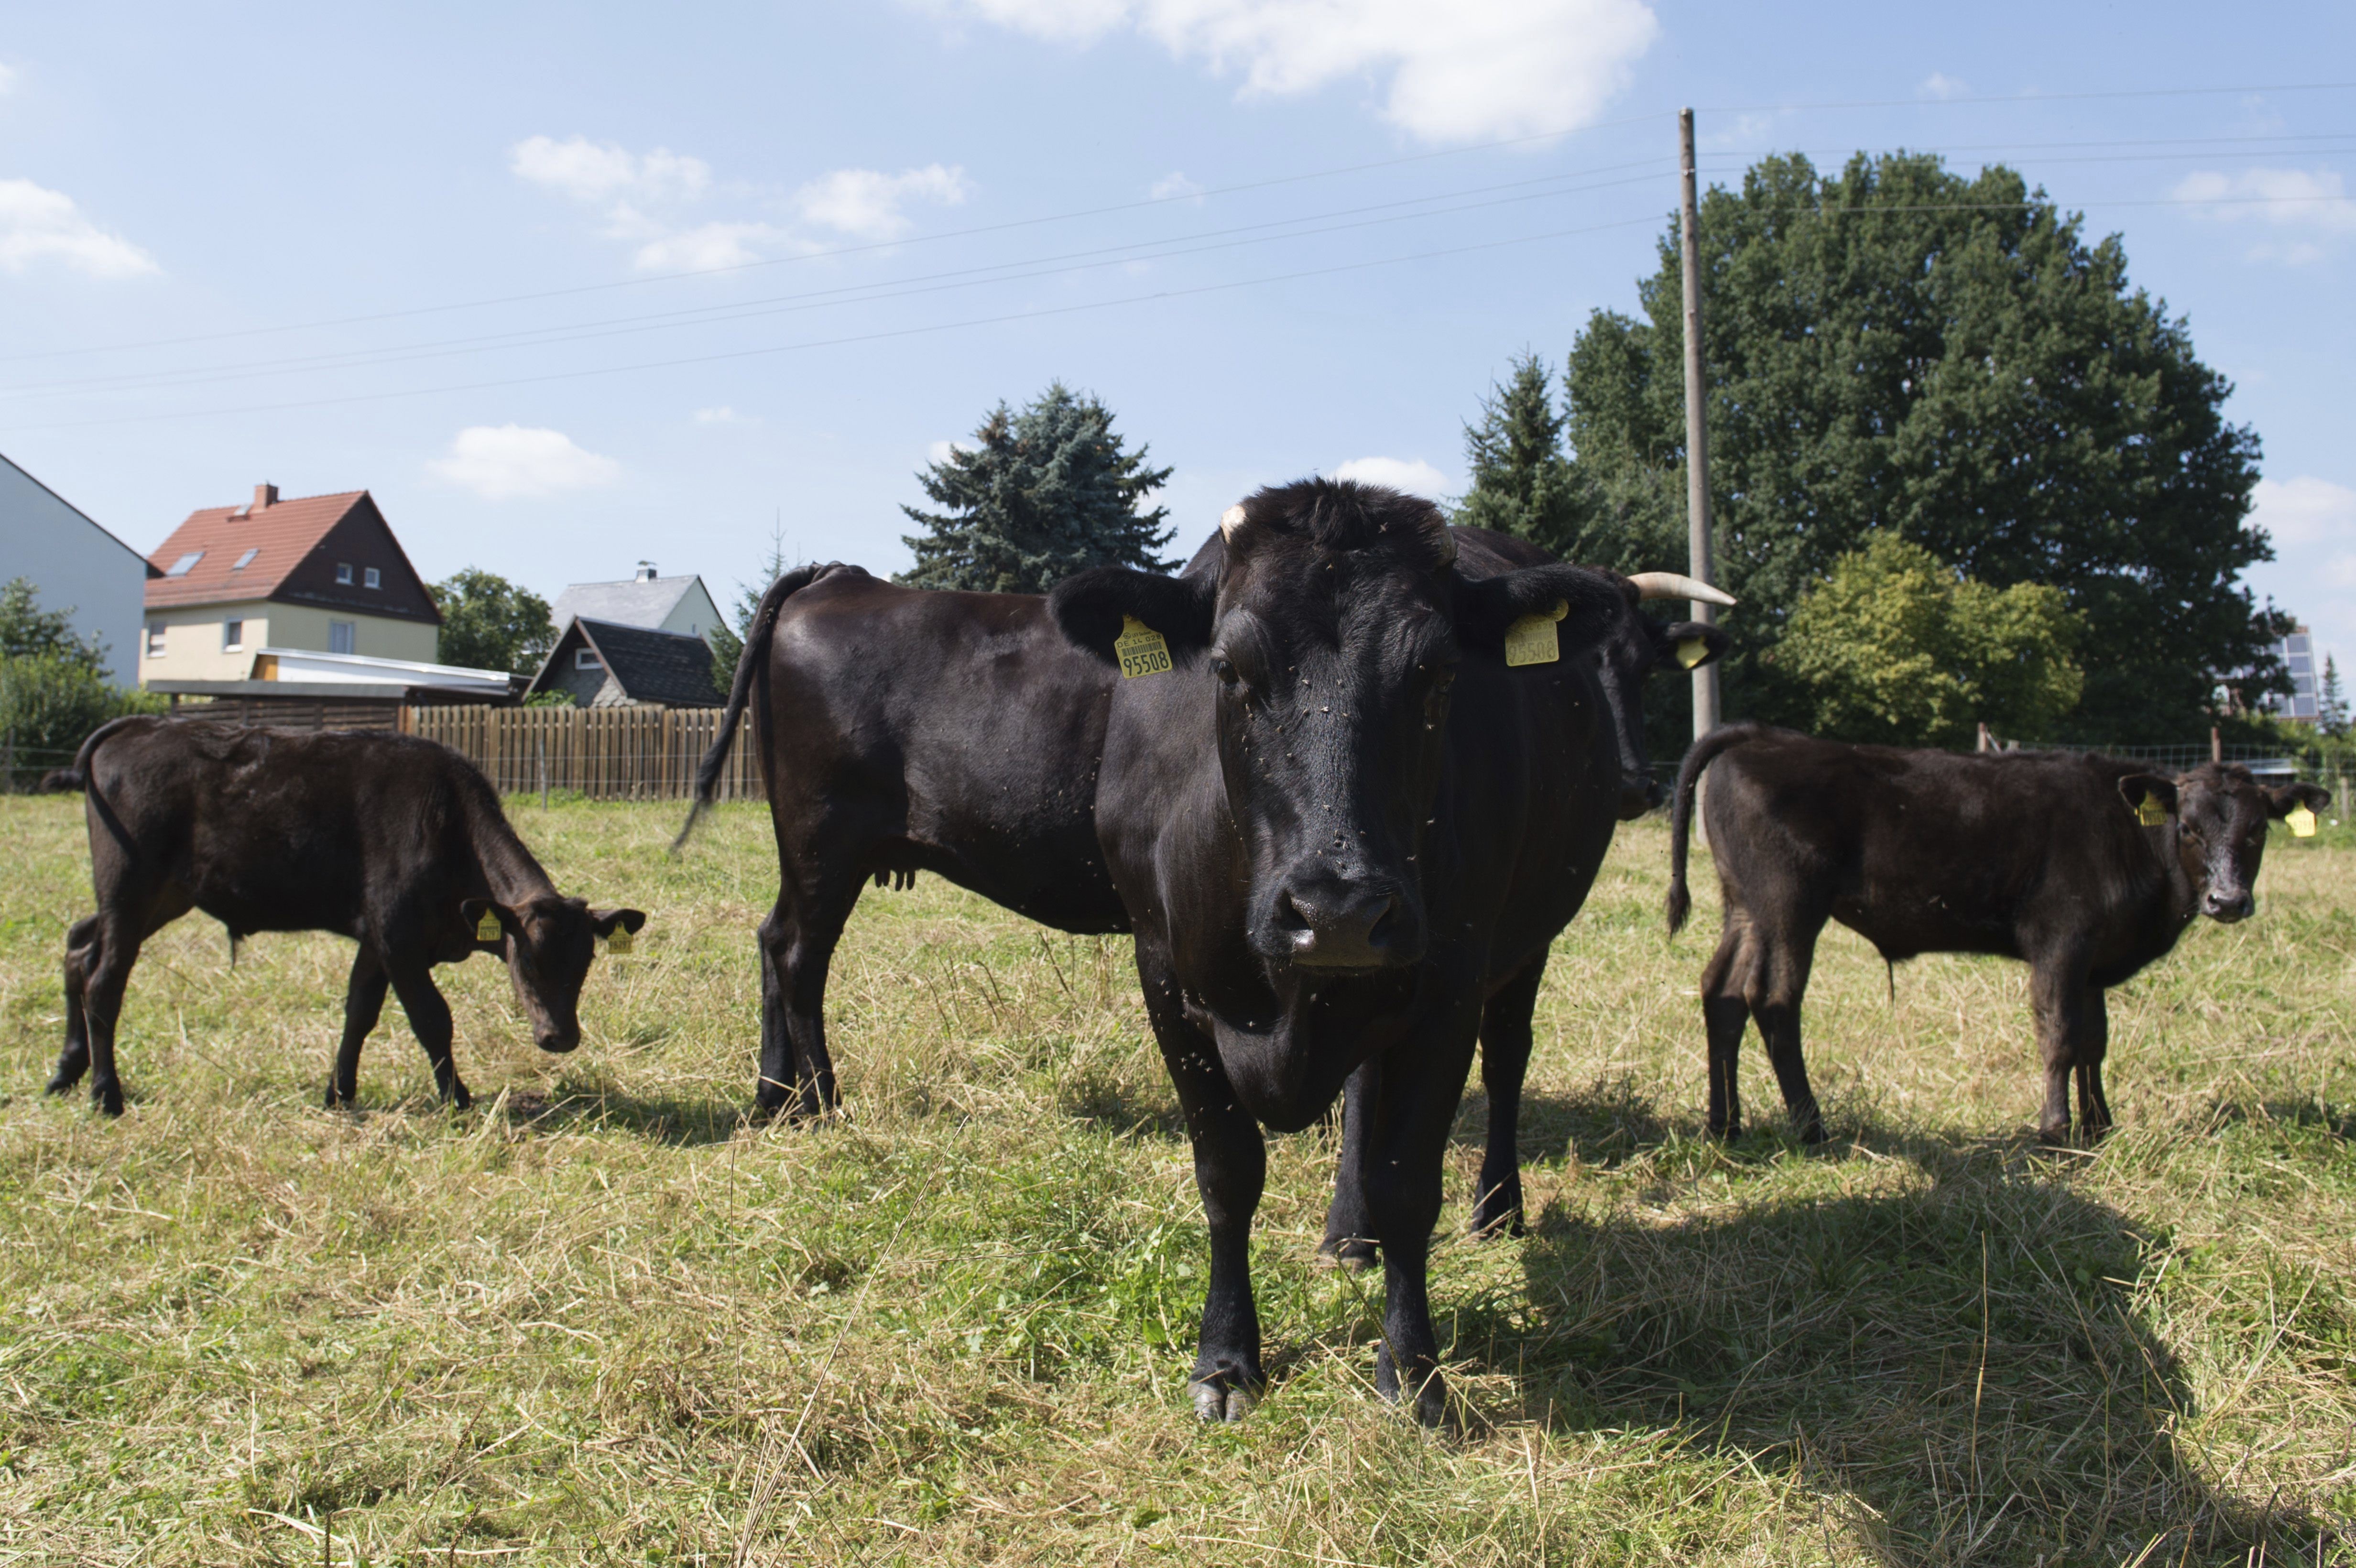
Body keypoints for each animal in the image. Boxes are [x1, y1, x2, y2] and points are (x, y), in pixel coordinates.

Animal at [53, 720, 645, 1111]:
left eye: (586, 964)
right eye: (526, 961)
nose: (560, 1037)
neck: (447, 826)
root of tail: (139, 729)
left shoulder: (376, 940)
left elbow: (359, 1013)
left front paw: (339, 1092)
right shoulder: (397, 937)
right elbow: (433, 1018)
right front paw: (457, 1099)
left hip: (164, 894)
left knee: (79, 947)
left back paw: (66, 1072)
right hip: (129, 887)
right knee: (105, 982)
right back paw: (106, 1094)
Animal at [1041, 482, 1668, 1422]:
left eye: (1438, 673)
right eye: (1228, 668)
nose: (1336, 911)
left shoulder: (1447, 987)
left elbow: (1409, 1183)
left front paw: (1413, 1369)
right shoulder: (1164, 980)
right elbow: (1227, 1174)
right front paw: (1225, 1358)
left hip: (1525, 942)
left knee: (1506, 1062)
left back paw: (1496, 1209)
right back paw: (1346, 1234)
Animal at [1668, 725, 2327, 1144]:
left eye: (2256, 831)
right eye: (2187, 828)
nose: (2227, 901)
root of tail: (1761, 736)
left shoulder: (2093, 957)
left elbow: (2094, 1041)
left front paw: (2099, 1124)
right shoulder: (2061, 939)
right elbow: (2059, 1035)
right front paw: (2056, 1130)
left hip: (1744, 907)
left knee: (1720, 992)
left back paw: (1725, 1124)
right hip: (1788, 906)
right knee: (1774, 1000)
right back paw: (1810, 1125)